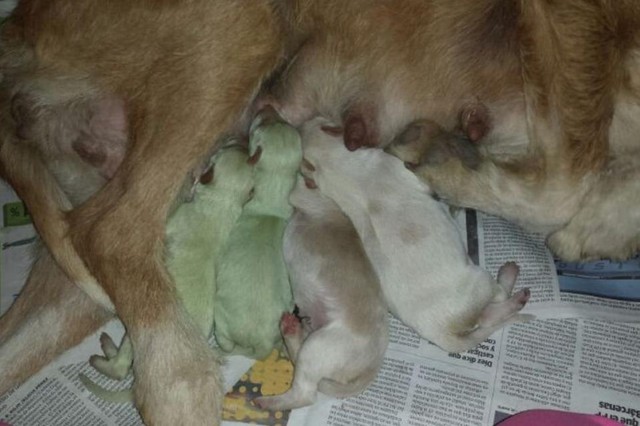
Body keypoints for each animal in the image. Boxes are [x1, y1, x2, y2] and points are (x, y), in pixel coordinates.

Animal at [82, 146, 255, 400]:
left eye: (221, 152)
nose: (240, 143)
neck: (222, 202)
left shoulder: (175, 219)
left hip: (138, 333)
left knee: (121, 368)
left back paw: (103, 353)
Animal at [215, 110, 302, 360]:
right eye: (280, 120)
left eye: (256, 128)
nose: (266, 107)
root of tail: (258, 342)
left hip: (221, 323)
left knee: (226, 344)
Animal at [252, 176, 388, 410]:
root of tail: (373, 366)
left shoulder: (304, 196)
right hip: (313, 340)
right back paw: (291, 330)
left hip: (317, 348)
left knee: (304, 394)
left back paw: (268, 402)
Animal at [302, 118, 532, 354]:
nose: (310, 119)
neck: (333, 166)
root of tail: (443, 334)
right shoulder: (405, 170)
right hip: (481, 283)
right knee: (499, 296)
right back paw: (511, 279)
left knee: (487, 318)